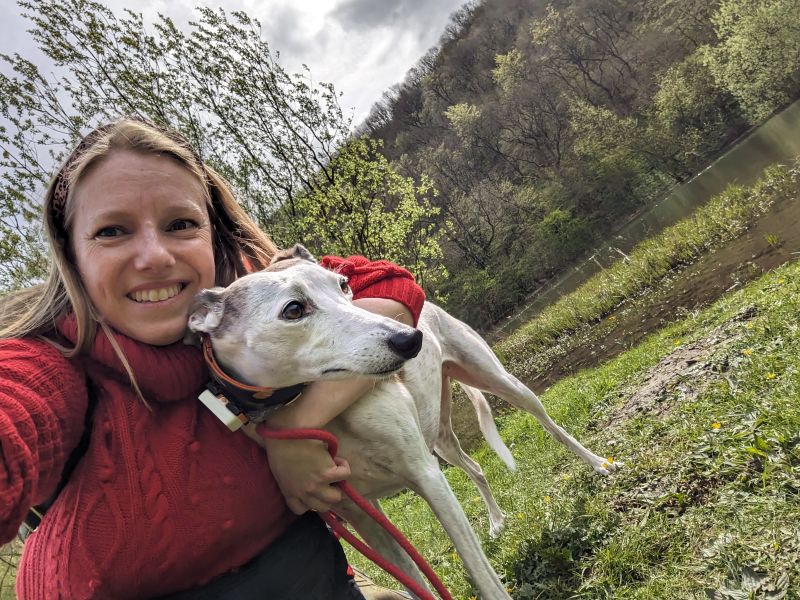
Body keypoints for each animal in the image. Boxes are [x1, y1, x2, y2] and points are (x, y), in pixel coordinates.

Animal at [187, 245, 618, 600]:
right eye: (293, 309)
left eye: (343, 284)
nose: (410, 339)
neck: (325, 416)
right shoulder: (363, 516)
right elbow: (413, 580)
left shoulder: (426, 476)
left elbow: (482, 575)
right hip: (440, 439)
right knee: (475, 466)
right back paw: (496, 521)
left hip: (500, 383)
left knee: (549, 423)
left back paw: (598, 464)